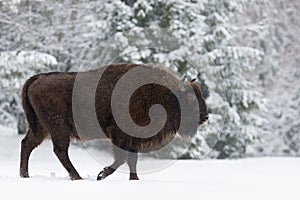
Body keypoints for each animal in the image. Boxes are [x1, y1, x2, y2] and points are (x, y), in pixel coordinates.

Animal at [19, 63, 209, 180]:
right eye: (191, 99)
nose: (205, 116)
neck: (165, 95)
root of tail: (37, 78)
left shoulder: (134, 138)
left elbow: (132, 160)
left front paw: (135, 179)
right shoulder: (119, 135)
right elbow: (122, 158)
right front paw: (101, 174)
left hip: (40, 128)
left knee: (27, 144)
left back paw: (25, 175)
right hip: (58, 128)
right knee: (60, 151)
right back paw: (77, 177)